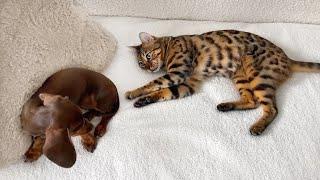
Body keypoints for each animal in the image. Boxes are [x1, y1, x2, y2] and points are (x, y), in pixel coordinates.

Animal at [125, 30, 320, 135]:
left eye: (148, 56)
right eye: (141, 64)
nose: (149, 68)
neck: (171, 44)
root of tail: (288, 58)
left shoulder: (177, 73)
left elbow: (153, 83)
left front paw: (133, 92)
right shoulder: (189, 84)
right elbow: (164, 92)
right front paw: (142, 100)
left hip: (257, 74)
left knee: (272, 108)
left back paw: (257, 127)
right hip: (241, 76)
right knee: (252, 101)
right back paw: (225, 106)